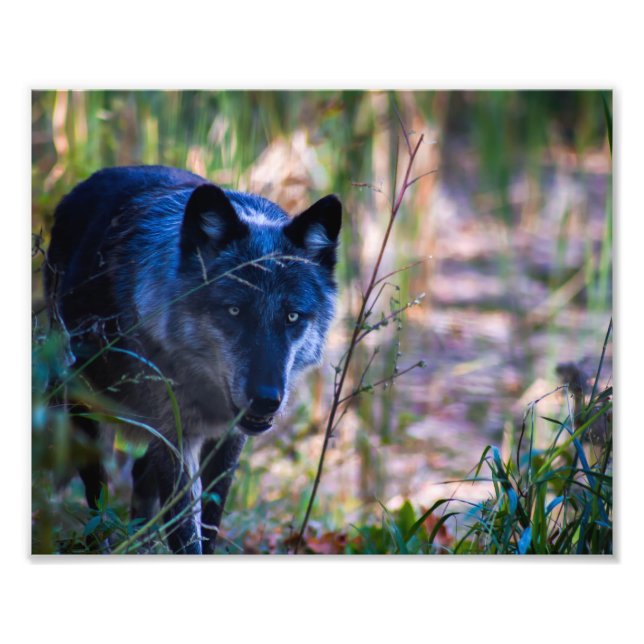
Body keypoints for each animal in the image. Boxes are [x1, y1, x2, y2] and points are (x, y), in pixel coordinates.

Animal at [45, 165, 341, 554]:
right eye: (234, 311)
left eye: (292, 317)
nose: (266, 400)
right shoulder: (177, 436)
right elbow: (185, 533)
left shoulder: (227, 441)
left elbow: (209, 523)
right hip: (85, 414)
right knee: (99, 498)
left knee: (140, 475)